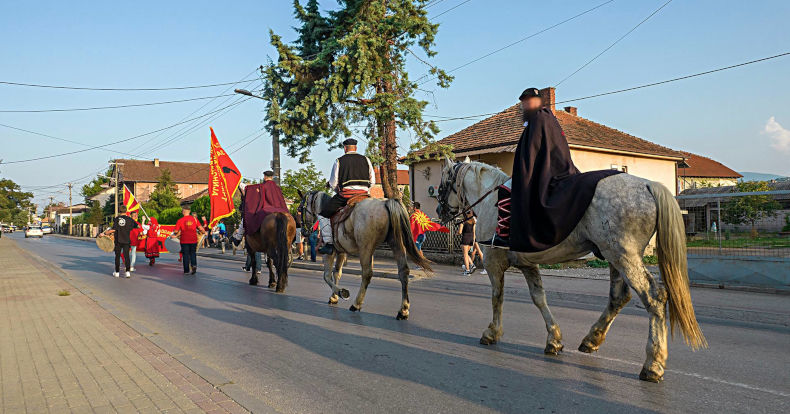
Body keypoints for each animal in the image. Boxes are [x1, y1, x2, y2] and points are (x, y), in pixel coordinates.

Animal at [298, 191, 434, 320]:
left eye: (300, 208)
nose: (304, 231)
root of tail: (385, 202)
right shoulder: (341, 251)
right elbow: (337, 273)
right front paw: (334, 296)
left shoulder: (329, 253)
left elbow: (326, 276)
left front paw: (341, 292)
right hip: (396, 243)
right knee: (403, 272)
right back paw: (403, 310)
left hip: (366, 248)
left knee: (367, 274)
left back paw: (356, 304)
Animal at [436, 158, 708, 382]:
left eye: (440, 186)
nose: (440, 211)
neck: (491, 201)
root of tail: (648, 185)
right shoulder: (528, 265)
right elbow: (539, 298)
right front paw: (554, 340)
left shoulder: (493, 263)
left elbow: (497, 298)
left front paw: (492, 333)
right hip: (615, 257)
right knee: (618, 298)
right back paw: (592, 339)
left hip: (624, 257)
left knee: (654, 298)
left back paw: (653, 363)